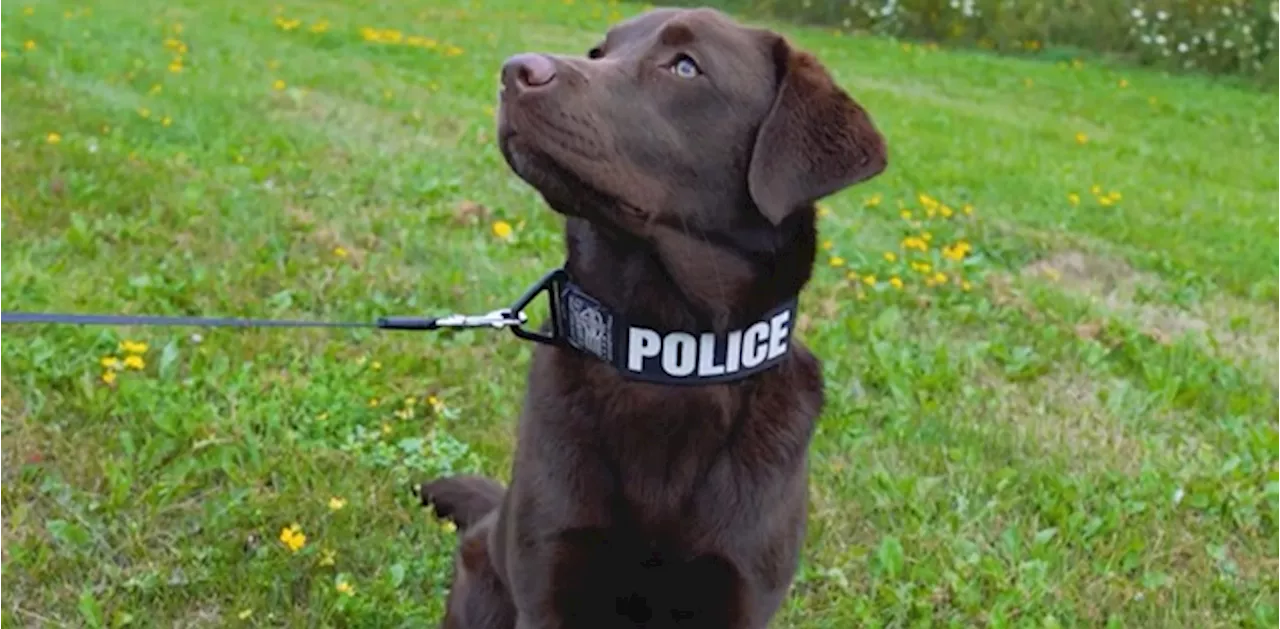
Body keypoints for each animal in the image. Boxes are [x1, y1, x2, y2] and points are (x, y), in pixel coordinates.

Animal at [419, 6, 890, 629]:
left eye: (685, 66)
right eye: (598, 53)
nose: (515, 71)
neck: (664, 351)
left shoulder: (739, 591)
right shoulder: (550, 575)